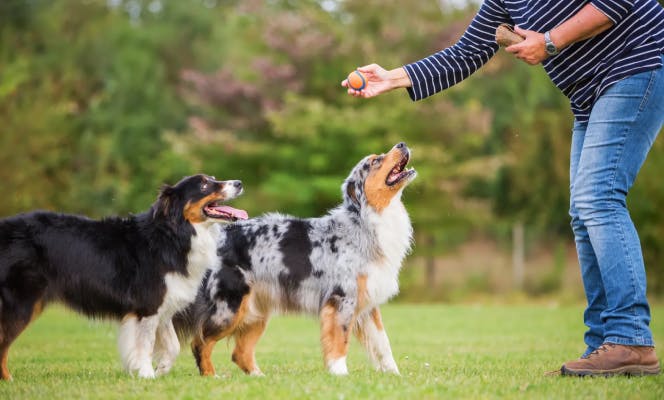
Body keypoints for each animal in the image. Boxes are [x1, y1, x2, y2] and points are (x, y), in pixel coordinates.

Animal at [0, 173, 246, 380]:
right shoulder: (148, 306)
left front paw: (161, 369)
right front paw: (147, 374)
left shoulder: (164, 304)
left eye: (213, 178)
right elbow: (145, 344)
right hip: (21, 303)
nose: (239, 183)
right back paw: (8, 379)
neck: (173, 234)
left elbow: (173, 346)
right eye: (204, 185)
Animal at [175, 143, 416, 376]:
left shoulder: (368, 303)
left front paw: (394, 375)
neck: (365, 222)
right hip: (228, 308)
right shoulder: (342, 299)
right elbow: (340, 341)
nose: (402, 144)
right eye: (375, 161)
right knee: (200, 342)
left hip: (255, 311)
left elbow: (383, 344)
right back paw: (210, 376)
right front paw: (340, 373)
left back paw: (258, 377)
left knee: (239, 353)